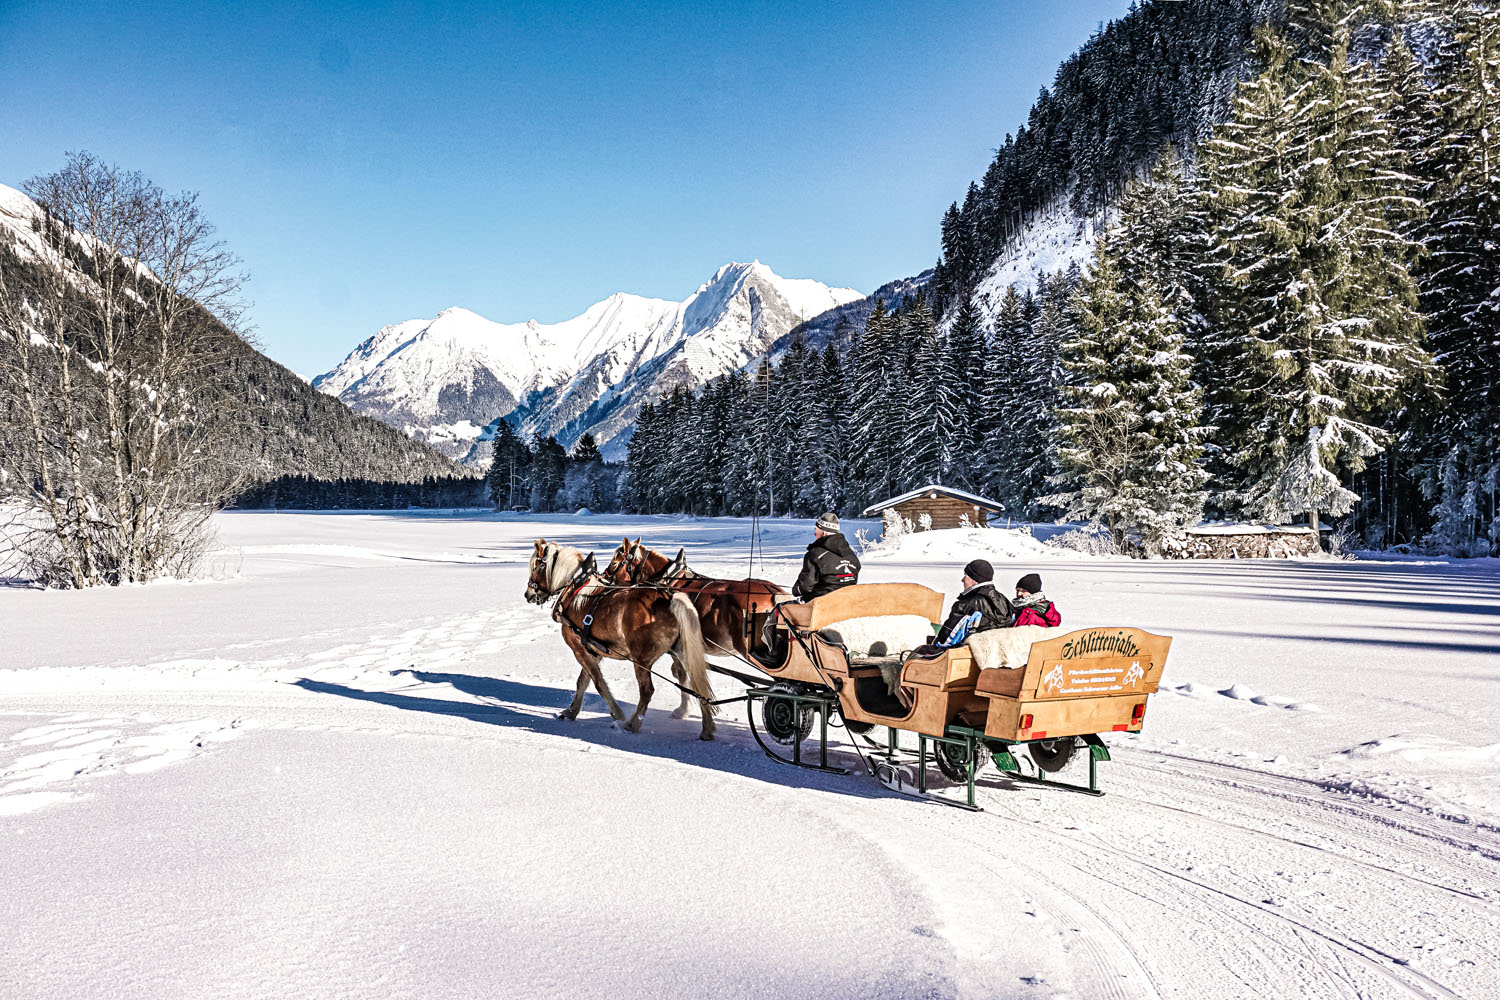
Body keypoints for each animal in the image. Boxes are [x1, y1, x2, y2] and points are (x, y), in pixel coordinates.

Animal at [525, 538, 717, 740]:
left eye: (536, 566)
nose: (527, 594)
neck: (576, 592)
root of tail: (669, 598)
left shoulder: (579, 650)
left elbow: (598, 683)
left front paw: (617, 715)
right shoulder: (592, 651)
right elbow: (582, 682)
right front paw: (571, 711)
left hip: (641, 660)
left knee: (647, 690)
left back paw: (633, 724)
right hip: (682, 652)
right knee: (697, 684)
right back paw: (707, 728)